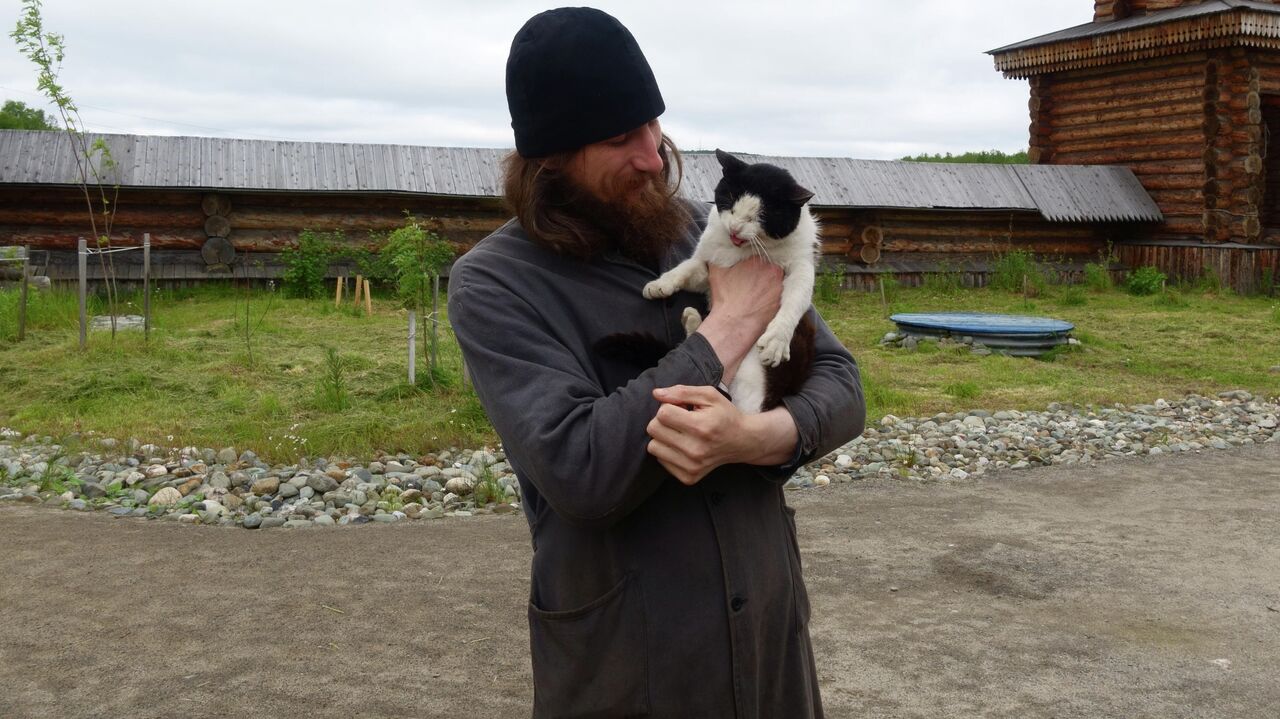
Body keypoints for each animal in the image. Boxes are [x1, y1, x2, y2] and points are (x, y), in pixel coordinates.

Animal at [640, 148, 819, 411]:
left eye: (761, 215)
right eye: (731, 200)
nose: (734, 228)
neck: (745, 250)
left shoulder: (801, 264)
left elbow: (796, 297)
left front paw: (777, 339)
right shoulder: (709, 266)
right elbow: (687, 268)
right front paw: (661, 284)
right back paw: (693, 320)